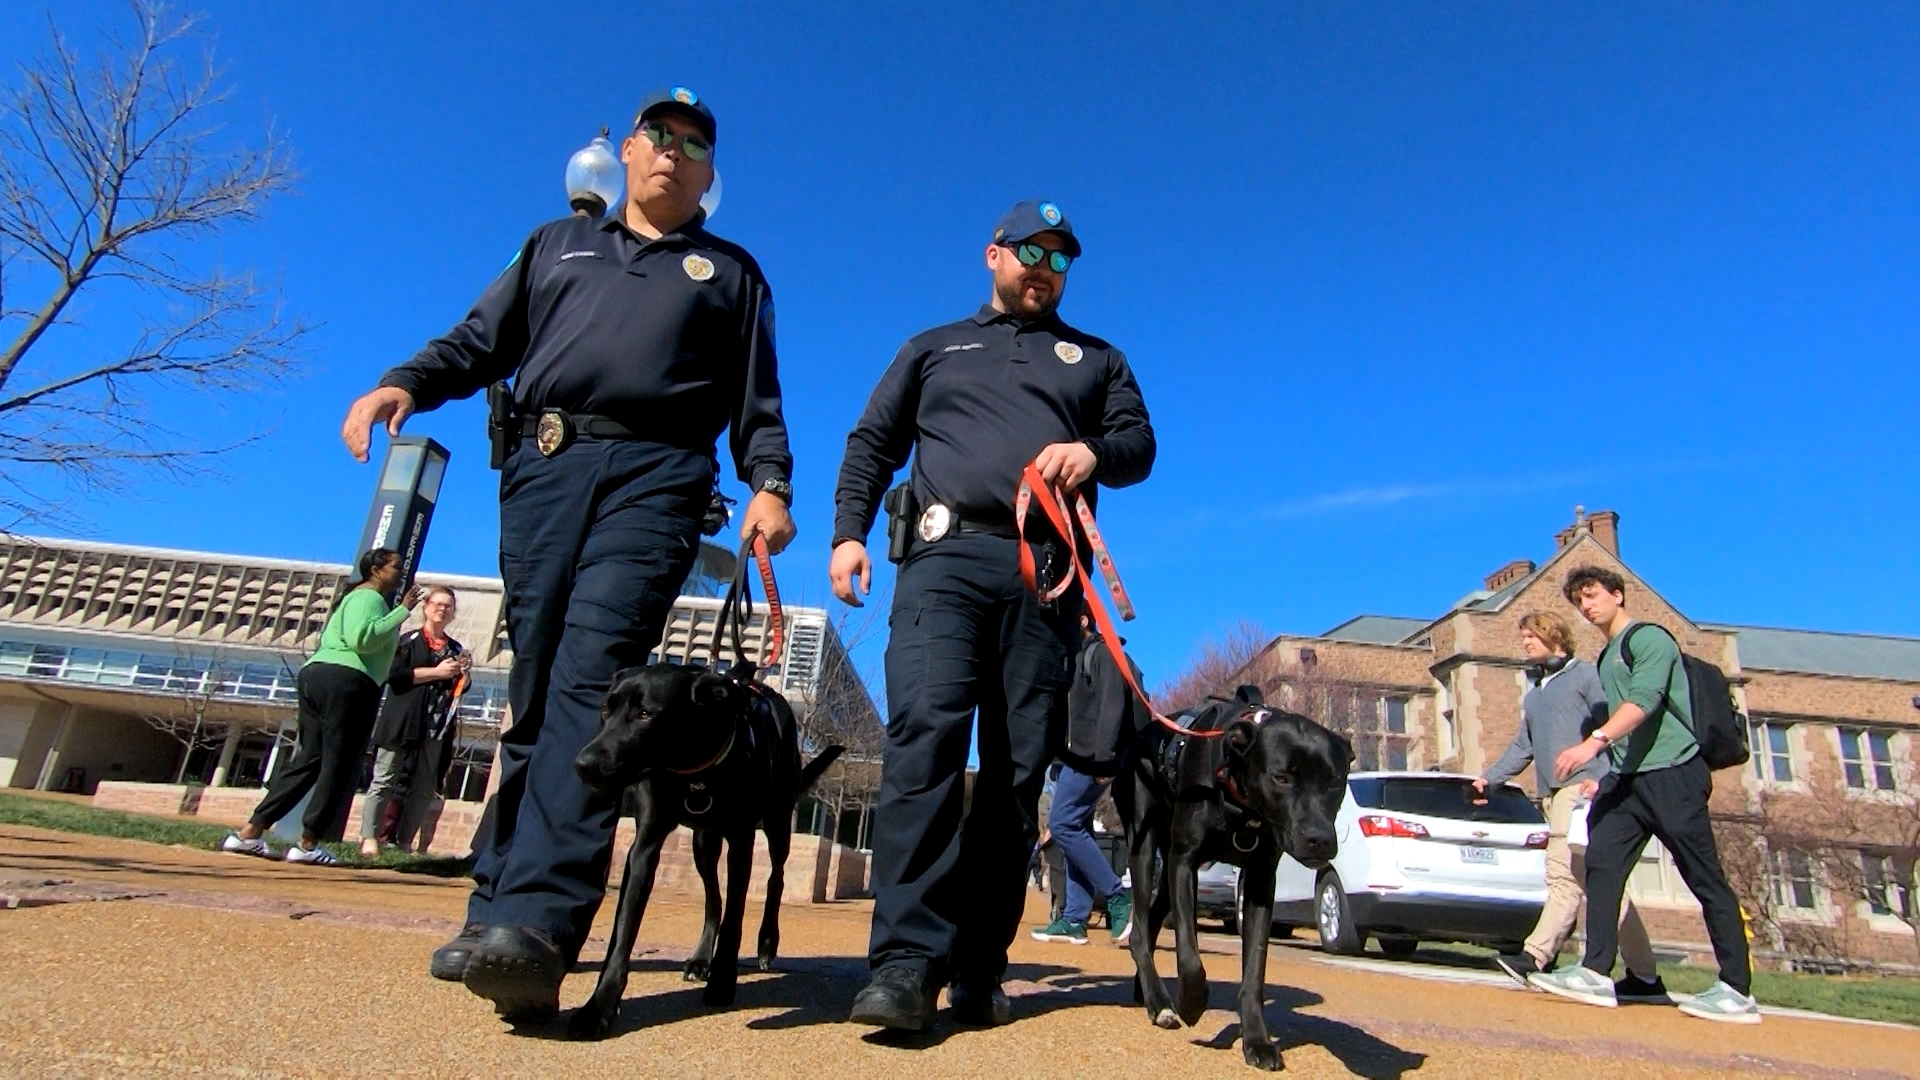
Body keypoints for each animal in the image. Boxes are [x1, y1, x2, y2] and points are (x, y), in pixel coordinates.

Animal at [564, 661, 844, 1037]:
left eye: (645, 713)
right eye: (606, 711)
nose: (583, 765)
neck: (694, 769)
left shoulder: (742, 841)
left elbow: (735, 920)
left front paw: (723, 982)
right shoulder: (645, 844)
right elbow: (623, 931)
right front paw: (598, 1008)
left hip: (778, 820)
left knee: (776, 877)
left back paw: (766, 942)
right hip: (703, 842)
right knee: (713, 899)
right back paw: (700, 959)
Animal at [1113, 684, 1351, 1060]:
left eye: (1335, 782)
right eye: (1281, 778)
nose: (1321, 839)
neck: (1242, 804)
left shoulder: (1259, 881)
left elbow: (1254, 971)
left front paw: (1256, 1040)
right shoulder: (1185, 863)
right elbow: (1189, 953)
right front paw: (1192, 1002)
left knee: (1146, 927)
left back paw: (1151, 995)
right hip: (1143, 845)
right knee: (1140, 925)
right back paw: (1163, 1003)